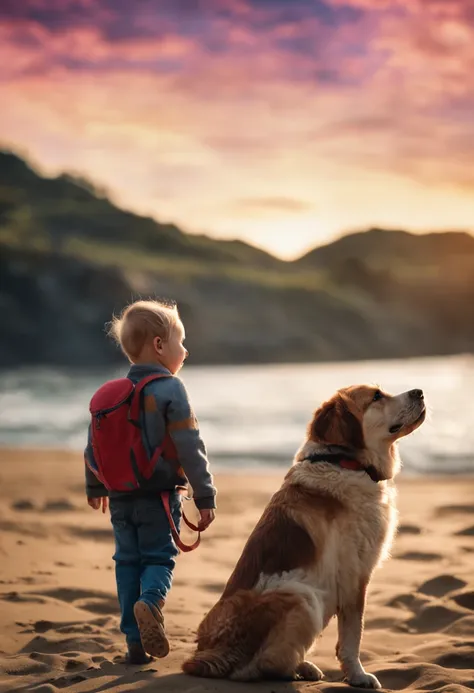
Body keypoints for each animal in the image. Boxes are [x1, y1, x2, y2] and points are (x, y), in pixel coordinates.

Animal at [181, 384, 426, 688]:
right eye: (377, 396)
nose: (419, 392)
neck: (343, 462)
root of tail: (209, 655)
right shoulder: (354, 573)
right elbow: (352, 634)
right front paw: (358, 675)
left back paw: (303, 666)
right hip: (302, 596)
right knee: (257, 667)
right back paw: (294, 669)